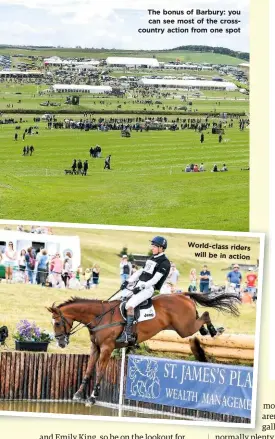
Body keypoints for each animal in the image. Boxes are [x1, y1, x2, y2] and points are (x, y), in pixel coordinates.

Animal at [48, 292, 242, 410]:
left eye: (57, 323)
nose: (61, 343)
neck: (99, 317)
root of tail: (182, 295)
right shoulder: (95, 348)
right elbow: (88, 370)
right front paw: (78, 394)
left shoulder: (106, 348)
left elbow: (100, 372)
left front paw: (92, 397)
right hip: (183, 327)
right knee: (200, 318)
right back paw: (206, 331)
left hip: (184, 328)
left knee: (205, 315)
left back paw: (213, 331)